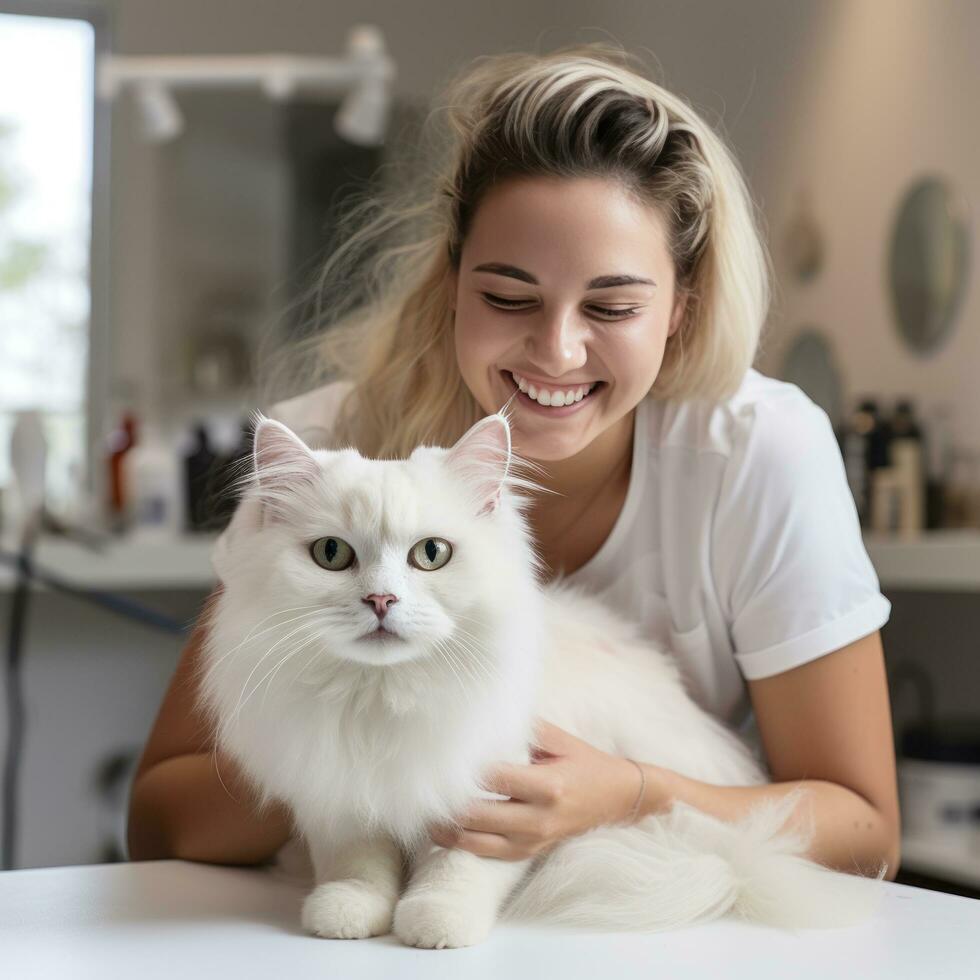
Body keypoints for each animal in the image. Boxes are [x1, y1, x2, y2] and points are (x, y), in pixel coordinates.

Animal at [199, 408, 888, 948]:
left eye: (431, 555)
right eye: (332, 555)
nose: (381, 601)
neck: (383, 698)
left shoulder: (490, 794)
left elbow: (459, 867)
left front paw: (433, 923)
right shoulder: (339, 798)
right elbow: (356, 865)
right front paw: (348, 914)